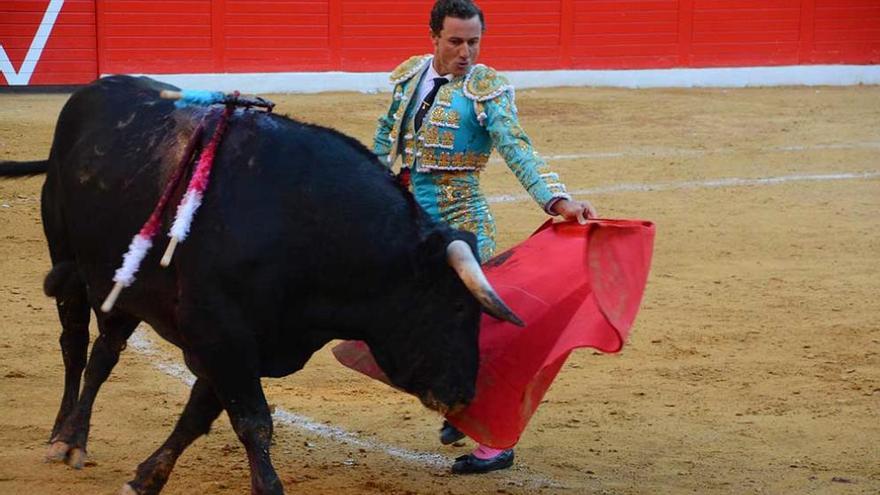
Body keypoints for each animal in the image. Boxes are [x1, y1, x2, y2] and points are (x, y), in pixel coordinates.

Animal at [0, 75, 524, 494]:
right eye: (456, 308)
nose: (463, 395)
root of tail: (92, 89)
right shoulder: (219, 332)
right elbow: (253, 422)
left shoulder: (240, 344)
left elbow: (199, 416)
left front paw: (145, 478)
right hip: (65, 258)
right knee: (74, 343)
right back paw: (64, 438)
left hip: (125, 287)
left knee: (105, 353)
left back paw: (77, 436)